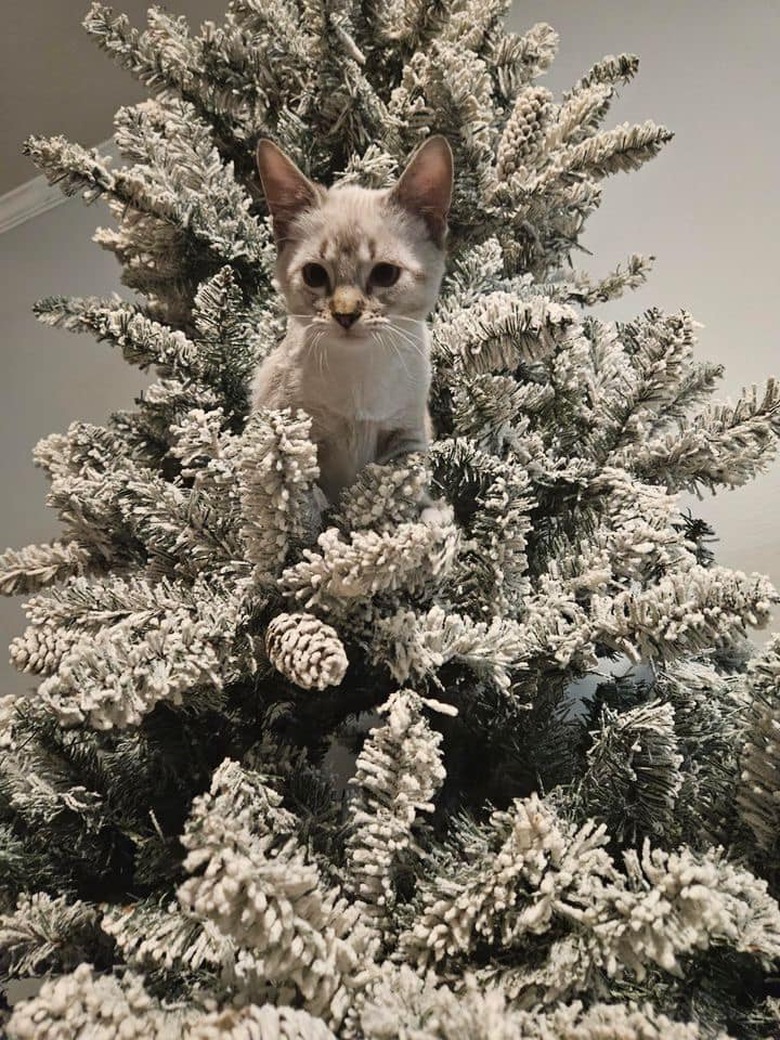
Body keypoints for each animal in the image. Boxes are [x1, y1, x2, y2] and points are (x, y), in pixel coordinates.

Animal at [253, 134, 455, 507]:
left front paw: (421, 515)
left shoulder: (406, 433)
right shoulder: (299, 430)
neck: (360, 369)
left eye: (386, 274)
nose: (345, 315)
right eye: (315, 275)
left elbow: (404, 490)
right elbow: (308, 500)